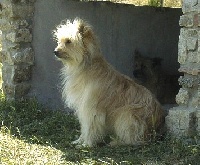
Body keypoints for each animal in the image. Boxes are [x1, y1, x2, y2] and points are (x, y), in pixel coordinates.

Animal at [53, 18, 166, 147]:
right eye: (59, 41)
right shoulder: (83, 107)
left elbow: (90, 126)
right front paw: (80, 140)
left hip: (127, 114)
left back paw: (117, 142)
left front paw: (87, 144)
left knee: (135, 139)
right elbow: (84, 127)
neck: (86, 66)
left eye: (68, 41)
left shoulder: (91, 109)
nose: (55, 51)